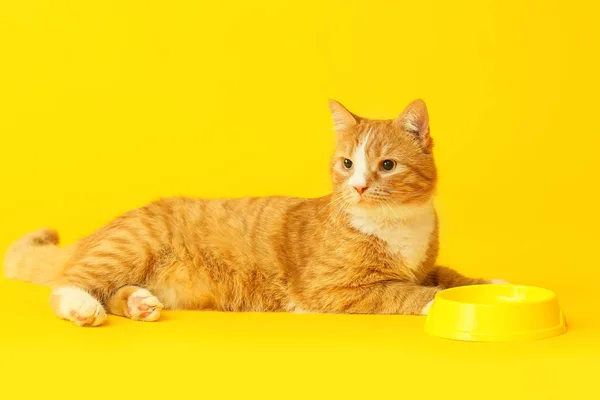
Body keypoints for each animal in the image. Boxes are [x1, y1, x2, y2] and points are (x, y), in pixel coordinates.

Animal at [3, 98, 506, 326]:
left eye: (386, 166)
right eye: (347, 164)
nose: (360, 186)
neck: (398, 222)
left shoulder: (425, 261)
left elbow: (447, 272)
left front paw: (491, 285)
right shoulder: (334, 291)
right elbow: (404, 291)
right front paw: (440, 301)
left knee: (114, 292)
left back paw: (138, 303)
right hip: (131, 246)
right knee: (72, 283)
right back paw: (81, 305)